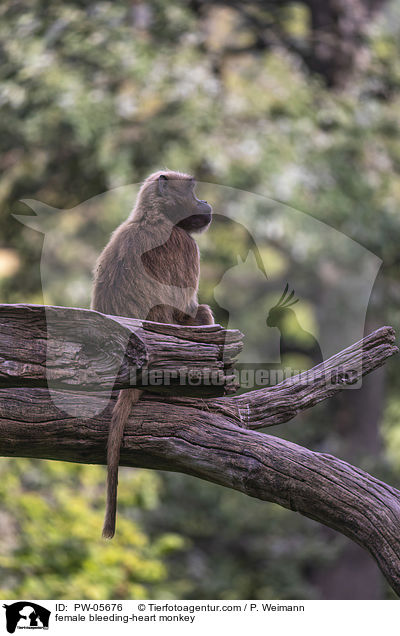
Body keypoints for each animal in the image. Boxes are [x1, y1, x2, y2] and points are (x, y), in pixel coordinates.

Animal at [92, 169, 214, 536]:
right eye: (193, 189)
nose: (207, 202)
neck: (152, 217)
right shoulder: (184, 243)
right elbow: (189, 307)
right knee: (201, 314)